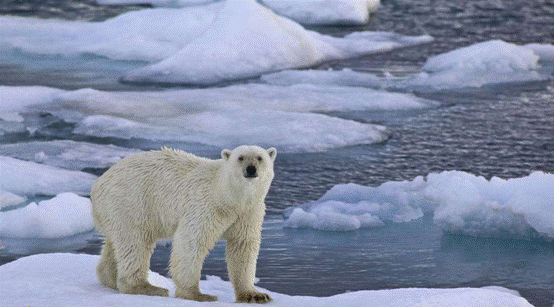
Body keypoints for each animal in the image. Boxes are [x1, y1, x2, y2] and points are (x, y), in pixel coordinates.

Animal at [90, 146, 276, 304]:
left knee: (116, 244)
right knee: (135, 242)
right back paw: (147, 287)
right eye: (241, 157)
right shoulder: (205, 206)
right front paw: (198, 294)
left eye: (260, 158)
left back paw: (110, 278)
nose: (251, 169)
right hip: (131, 202)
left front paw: (255, 295)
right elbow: (192, 242)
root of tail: (98, 184)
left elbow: (243, 246)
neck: (227, 197)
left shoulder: (248, 213)